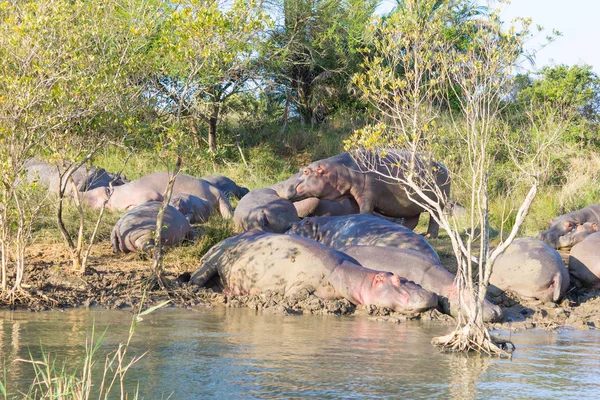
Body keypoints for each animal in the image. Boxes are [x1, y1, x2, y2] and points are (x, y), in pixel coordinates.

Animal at [190, 230, 438, 314]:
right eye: (395, 279)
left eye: (411, 280)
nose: (431, 294)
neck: (351, 276)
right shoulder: (301, 284)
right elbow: (295, 296)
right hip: (213, 260)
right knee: (199, 275)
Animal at [274, 150, 448, 238]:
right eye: (301, 168)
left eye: (306, 171)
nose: (279, 186)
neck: (341, 170)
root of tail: (443, 165)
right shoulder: (353, 197)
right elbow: (356, 211)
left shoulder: (367, 196)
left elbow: (365, 210)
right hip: (410, 206)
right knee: (412, 220)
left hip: (438, 203)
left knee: (435, 220)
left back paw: (429, 237)